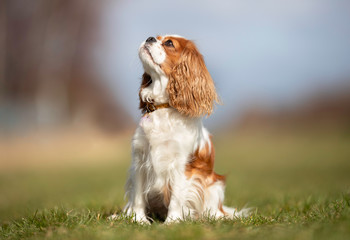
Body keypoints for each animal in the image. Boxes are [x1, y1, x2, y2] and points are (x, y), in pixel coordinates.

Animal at [119, 35, 247, 223]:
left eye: (169, 43)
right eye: (156, 37)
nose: (149, 38)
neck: (164, 108)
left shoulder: (182, 165)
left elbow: (176, 197)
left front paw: (172, 222)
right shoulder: (140, 160)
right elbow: (138, 197)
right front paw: (138, 219)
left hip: (214, 186)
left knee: (213, 211)